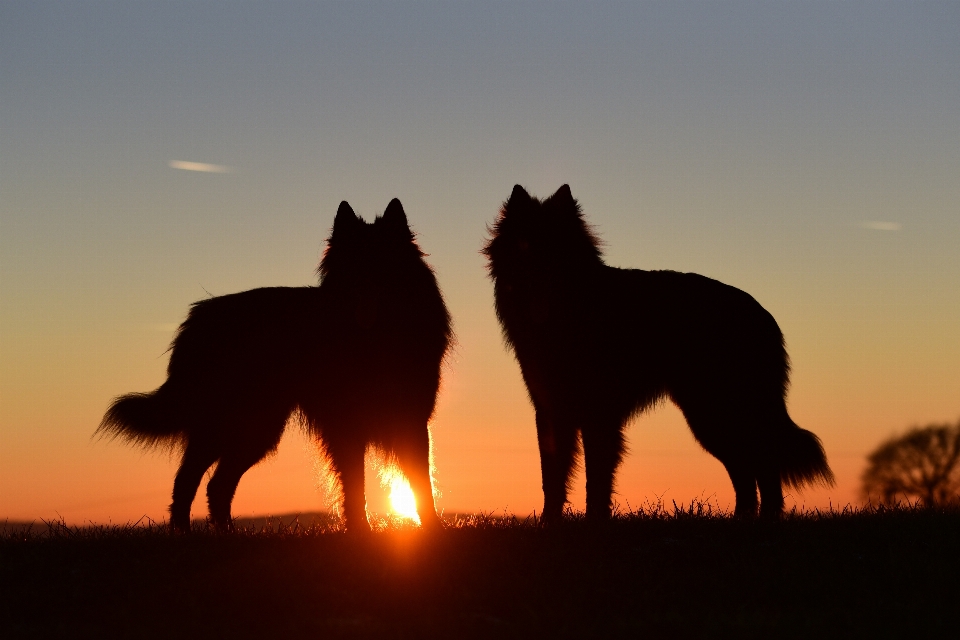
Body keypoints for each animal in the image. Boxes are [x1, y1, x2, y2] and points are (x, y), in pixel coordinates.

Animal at [99, 201, 452, 536]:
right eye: (351, 265)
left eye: (383, 261)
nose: (364, 291)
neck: (372, 338)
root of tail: (198, 317)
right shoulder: (346, 425)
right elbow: (355, 483)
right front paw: (360, 530)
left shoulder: (412, 420)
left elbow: (421, 481)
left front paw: (431, 529)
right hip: (231, 426)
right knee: (187, 480)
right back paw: (185, 533)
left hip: (257, 429)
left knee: (217, 484)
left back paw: (228, 534)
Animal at [484, 184, 836, 520]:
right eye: (524, 246)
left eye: (556, 248)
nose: (537, 277)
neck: (570, 314)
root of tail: (762, 314)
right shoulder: (551, 412)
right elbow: (552, 477)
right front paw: (549, 523)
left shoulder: (599, 415)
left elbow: (596, 477)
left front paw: (595, 521)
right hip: (709, 416)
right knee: (746, 470)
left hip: (718, 411)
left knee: (762, 462)